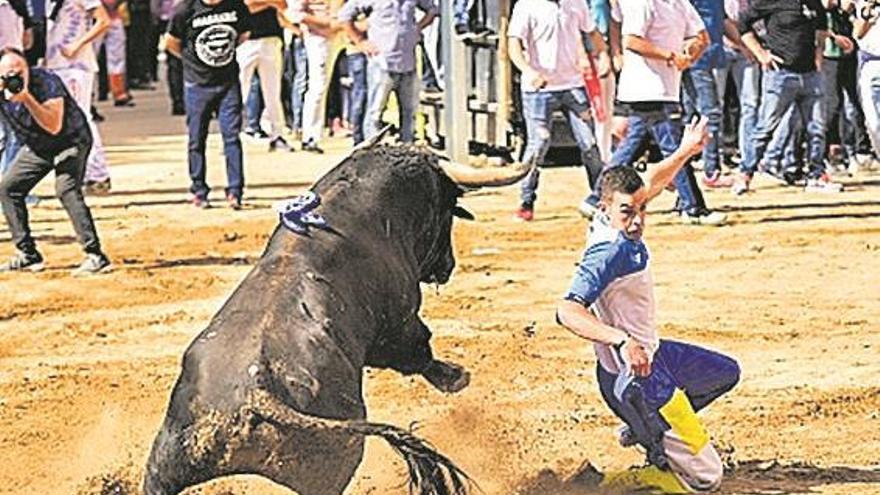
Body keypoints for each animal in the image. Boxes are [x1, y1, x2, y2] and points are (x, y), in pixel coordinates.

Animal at [145, 145, 528, 494]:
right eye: (447, 209)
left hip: (163, 468)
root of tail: (255, 397)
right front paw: (455, 376)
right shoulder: (398, 326)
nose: (448, 266)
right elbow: (418, 351)